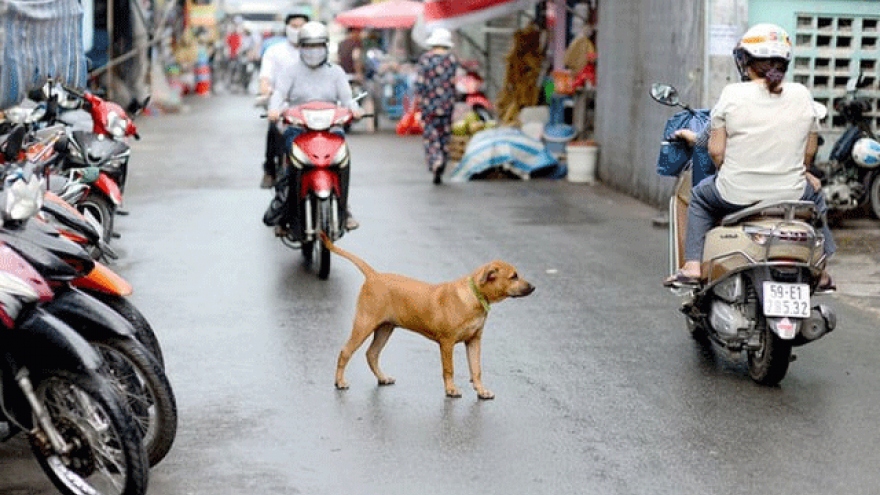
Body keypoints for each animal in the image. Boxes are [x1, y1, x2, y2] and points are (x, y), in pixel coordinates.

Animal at [322, 234, 532, 402]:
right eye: (514, 276)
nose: (533, 287)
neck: (474, 296)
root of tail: (374, 276)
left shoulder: (474, 341)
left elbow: (476, 368)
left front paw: (481, 391)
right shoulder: (447, 342)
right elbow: (449, 369)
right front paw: (451, 390)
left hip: (385, 328)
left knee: (372, 354)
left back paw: (382, 378)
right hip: (364, 324)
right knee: (346, 351)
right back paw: (339, 382)